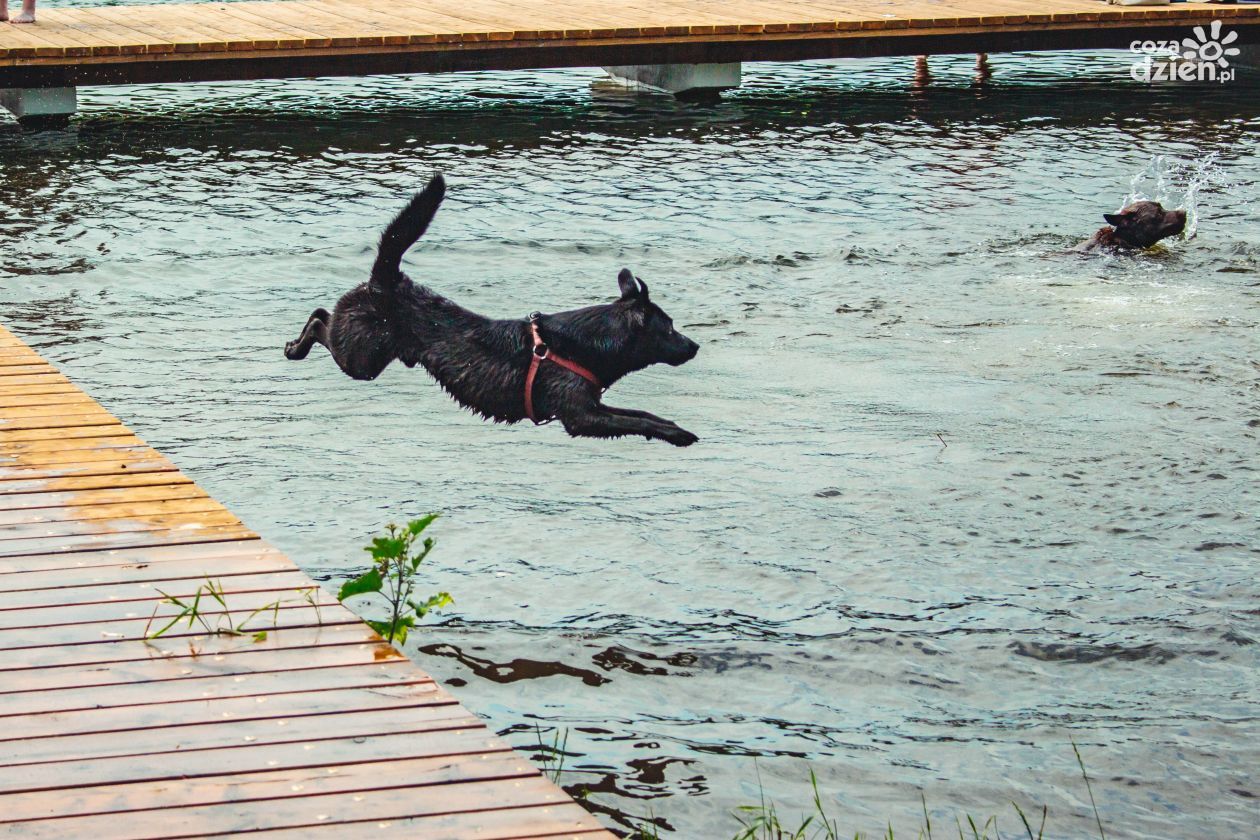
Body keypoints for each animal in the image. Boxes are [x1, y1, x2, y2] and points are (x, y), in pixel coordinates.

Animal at [282, 171, 705, 445]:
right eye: (670, 327)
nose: (696, 346)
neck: (589, 344)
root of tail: (386, 279)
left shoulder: (592, 407)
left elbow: (643, 415)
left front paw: (675, 428)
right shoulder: (581, 416)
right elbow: (635, 421)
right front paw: (678, 435)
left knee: (323, 314)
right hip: (361, 359)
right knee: (321, 321)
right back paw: (295, 347)